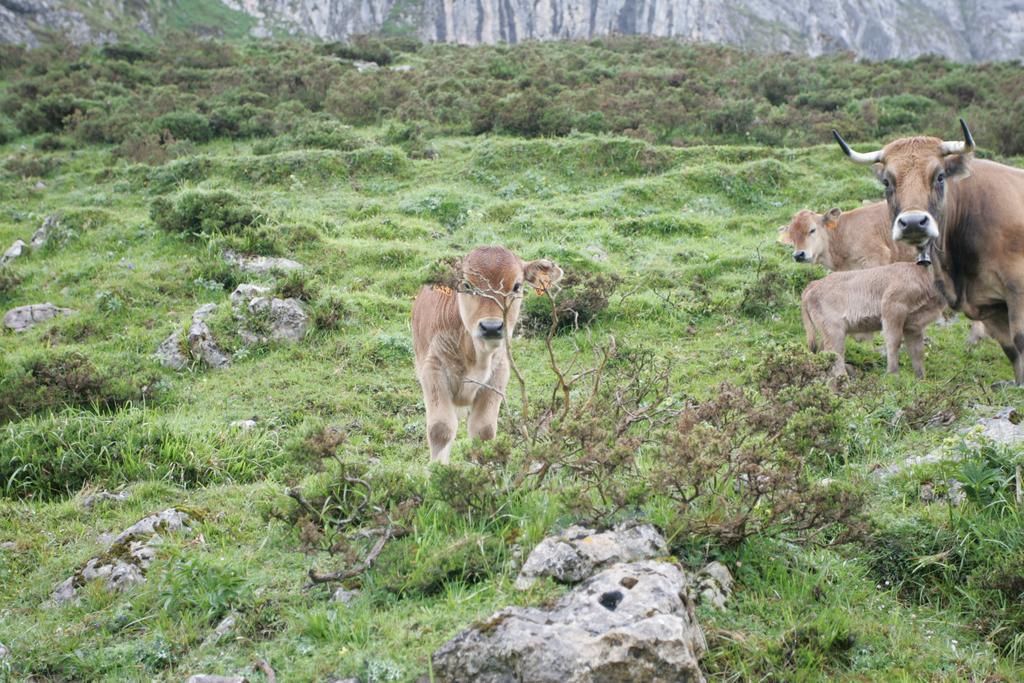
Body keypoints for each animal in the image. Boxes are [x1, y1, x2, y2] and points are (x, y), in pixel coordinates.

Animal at [411, 245, 565, 464]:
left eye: (517, 286)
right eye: (467, 285)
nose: (491, 327)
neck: (475, 356)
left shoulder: (498, 374)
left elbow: (483, 431)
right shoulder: (433, 369)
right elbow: (441, 429)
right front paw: (436, 470)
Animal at [798, 262, 942, 378]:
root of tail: (812, 285)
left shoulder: (913, 325)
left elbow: (917, 351)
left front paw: (921, 378)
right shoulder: (892, 307)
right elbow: (894, 342)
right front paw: (893, 375)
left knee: (823, 354)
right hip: (834, 330)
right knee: (835, 355)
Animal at [835, 118, 1024, 385]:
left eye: (940, 176)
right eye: (887, 182)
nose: (913, 222)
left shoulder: (1017, 288)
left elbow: (1020, 340)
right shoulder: (990, 304)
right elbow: (1011, 348)